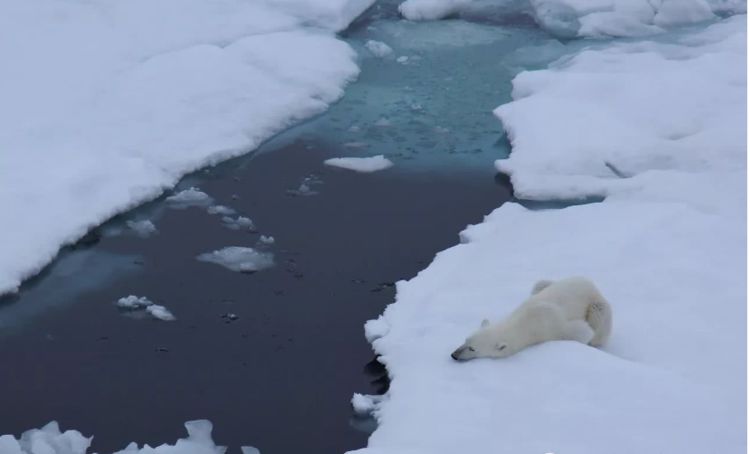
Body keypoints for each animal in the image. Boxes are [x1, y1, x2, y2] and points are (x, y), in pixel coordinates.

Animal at [452, 276, 612, 362]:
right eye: (466, 340)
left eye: (473, 349)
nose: (454, 355)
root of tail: (589, 282)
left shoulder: (552, 327)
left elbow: (582, 331)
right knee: (539, 284)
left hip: (596, 304)